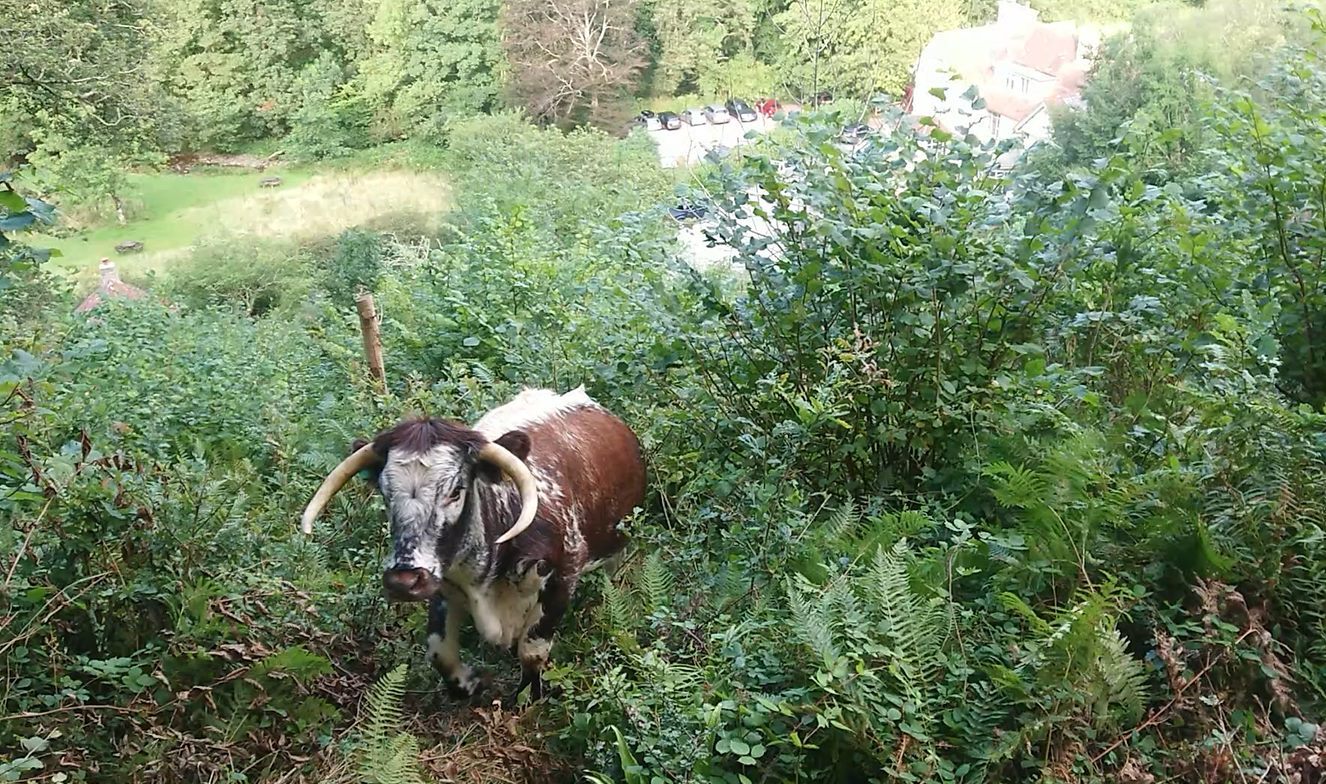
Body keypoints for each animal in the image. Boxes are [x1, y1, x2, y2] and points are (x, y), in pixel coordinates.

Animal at [300, 386, 645, 702]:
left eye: (456, 491)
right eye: (385, 493)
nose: (403, 581)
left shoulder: (562, 574)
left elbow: (532, 650)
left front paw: (528, 698)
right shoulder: (442, 583)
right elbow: (439, 651)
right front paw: (469, 684)